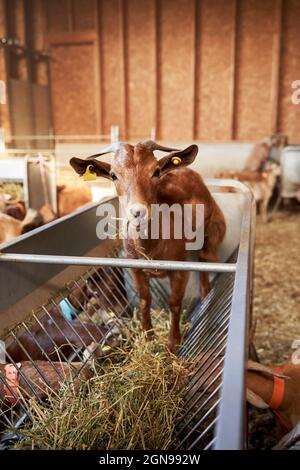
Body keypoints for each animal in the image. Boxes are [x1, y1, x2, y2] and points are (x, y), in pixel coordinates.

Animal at [70, 140, 225, 352]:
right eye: (113, 175)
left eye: (156, 171)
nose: (138, 211)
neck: (152, 247)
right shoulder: (135, 268)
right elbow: (144, 300)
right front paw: (149, 338)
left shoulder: (181, 267)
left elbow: (174, 303)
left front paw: (173, 344)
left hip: (208, 236)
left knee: (203, 263)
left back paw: (205, 295)